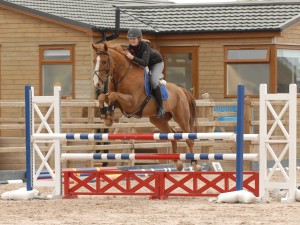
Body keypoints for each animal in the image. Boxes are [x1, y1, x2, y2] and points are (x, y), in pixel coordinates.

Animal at [91, 41, 199, 171]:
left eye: (104, 61)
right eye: (94, 61)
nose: (96, 84)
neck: (123, 75)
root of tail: (182, 90)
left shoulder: (132, 103)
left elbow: (113, 95)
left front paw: (111, 117)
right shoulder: (119, 101)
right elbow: (104, 97)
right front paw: (107, 118)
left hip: (181, 118)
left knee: (189, 139)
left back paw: (195, 164)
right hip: (158, 120)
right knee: (172, 134)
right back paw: (177, 163)